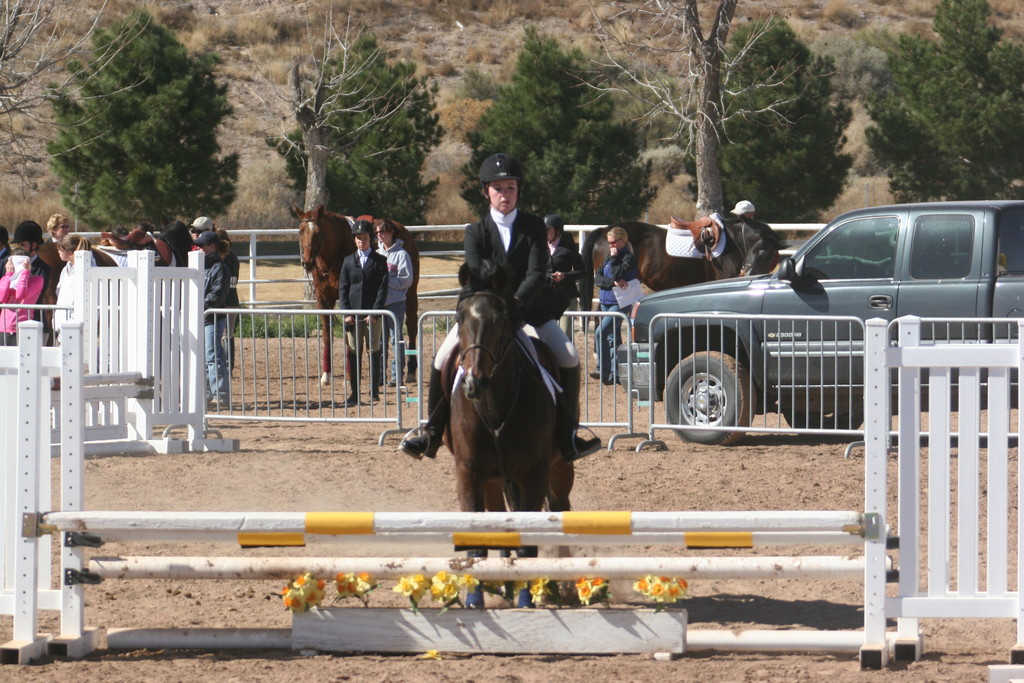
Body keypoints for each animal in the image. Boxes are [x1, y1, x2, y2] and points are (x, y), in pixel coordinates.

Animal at [294, 202, 421, 385]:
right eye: (300, 231)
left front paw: (349, 376)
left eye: (319, 232)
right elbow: (327, 335)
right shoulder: (322, 299)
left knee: (411, 324)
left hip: (411, 291)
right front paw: (326, 375)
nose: (307, 262)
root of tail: (405, 232)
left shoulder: (346, 298)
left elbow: (349, 338)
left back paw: (410, 371)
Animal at [450, 262, 577, 610]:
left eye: (500, 319)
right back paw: (502, 583)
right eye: (459, 317)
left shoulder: (534, 473)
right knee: (499, 517)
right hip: (494, 478)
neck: (495, 409)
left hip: (559, 467)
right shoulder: (469, 473)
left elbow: (529, 541)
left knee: (560, 508)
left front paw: (525, 598)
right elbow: (478, 539)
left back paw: (562, 585)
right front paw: (475, 598)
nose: (474, 383)